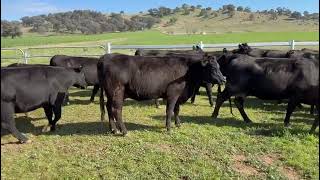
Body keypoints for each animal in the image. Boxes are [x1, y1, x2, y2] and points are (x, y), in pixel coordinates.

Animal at [97, 53, 225, 135]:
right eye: (212, 67)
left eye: (219, 66)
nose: (224, 79)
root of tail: (105, 57)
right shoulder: (172, 94)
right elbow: (169, 111)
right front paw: (169, 128)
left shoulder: (179, 95)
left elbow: (177, 110)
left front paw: (178, 124)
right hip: (117, 92)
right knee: (117, 110)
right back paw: (124, 131)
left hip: (110, 94)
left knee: (108, 108)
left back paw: (114, 129)